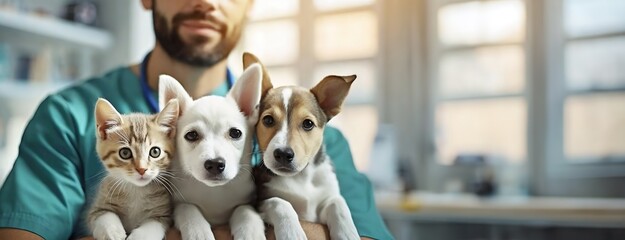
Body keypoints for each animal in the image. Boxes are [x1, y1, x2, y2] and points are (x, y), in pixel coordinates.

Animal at [86, 97, 178, 240]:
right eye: (125, 153)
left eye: (155, 152)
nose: (142, 169)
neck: (136, 190)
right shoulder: (97, 207)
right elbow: (103, 214)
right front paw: (112, 232)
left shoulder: (163, 214)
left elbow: (153, 226)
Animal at [158, 64, 266, 240]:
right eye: (191, 135)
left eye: (235, 133)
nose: (215, 164)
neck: (213, 192)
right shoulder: (179, 202)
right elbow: (188, 208)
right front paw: (198, 231)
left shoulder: (246, 201)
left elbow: (245, 210)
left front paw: (250, 232)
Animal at [246, 53, 358, 240]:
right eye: (268, 120)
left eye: (308, 124)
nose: (283, 154)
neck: (301, 177)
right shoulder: (260, 200)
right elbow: (280, 202)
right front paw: (292, 233)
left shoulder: (327, 196)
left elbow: (338, 203)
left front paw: (348, 234)